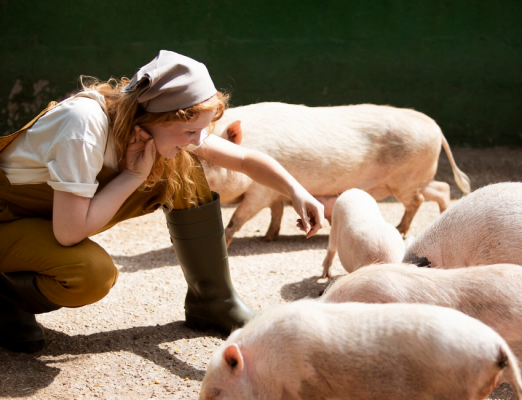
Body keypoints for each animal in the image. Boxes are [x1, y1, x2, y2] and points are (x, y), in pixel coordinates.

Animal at [201, 102, 470, 247]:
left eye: (208, 158)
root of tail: (436, 128)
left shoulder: (259, 191)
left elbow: (238, 218)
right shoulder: (272, 195)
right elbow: (276, 212)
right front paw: (268, 238)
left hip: (405, 180)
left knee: (419, 200)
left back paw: (400, 229)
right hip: (416, 179)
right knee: (442, 189)